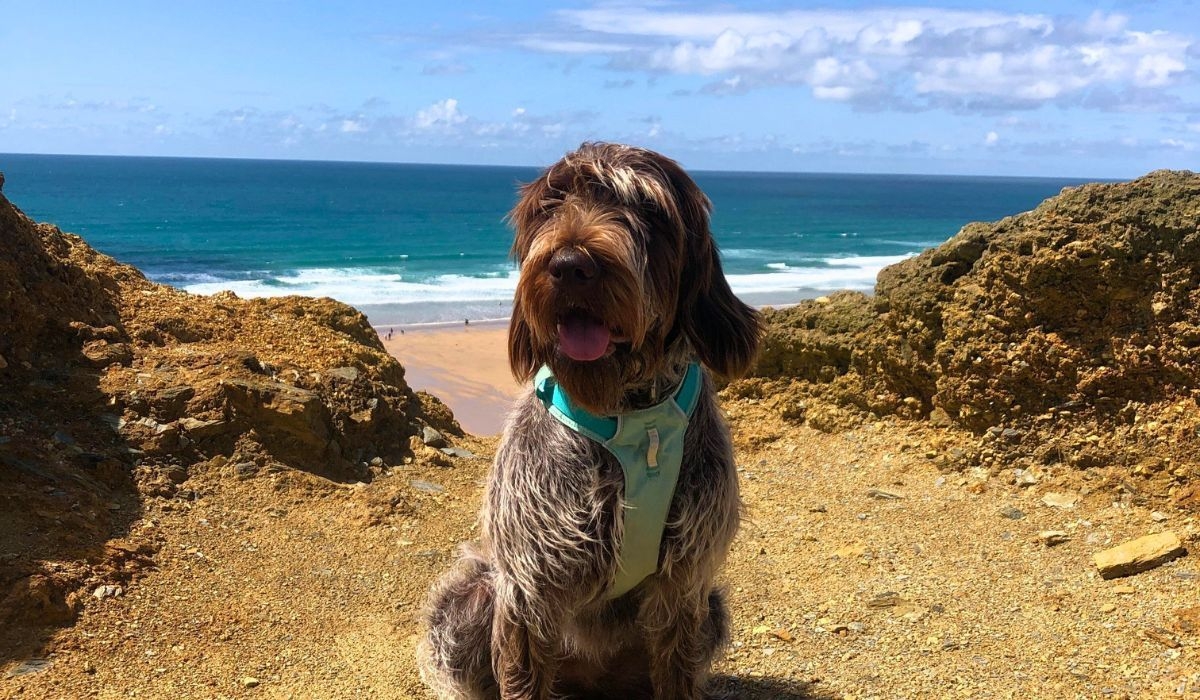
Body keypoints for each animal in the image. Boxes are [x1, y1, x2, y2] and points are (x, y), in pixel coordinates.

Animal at [420, 144, 758, 700]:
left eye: (646, 209)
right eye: (549, 206)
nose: (569, 265)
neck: (629, 413)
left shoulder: (685, 582)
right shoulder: (529, 587)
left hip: (711, 607)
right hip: (470, 597)